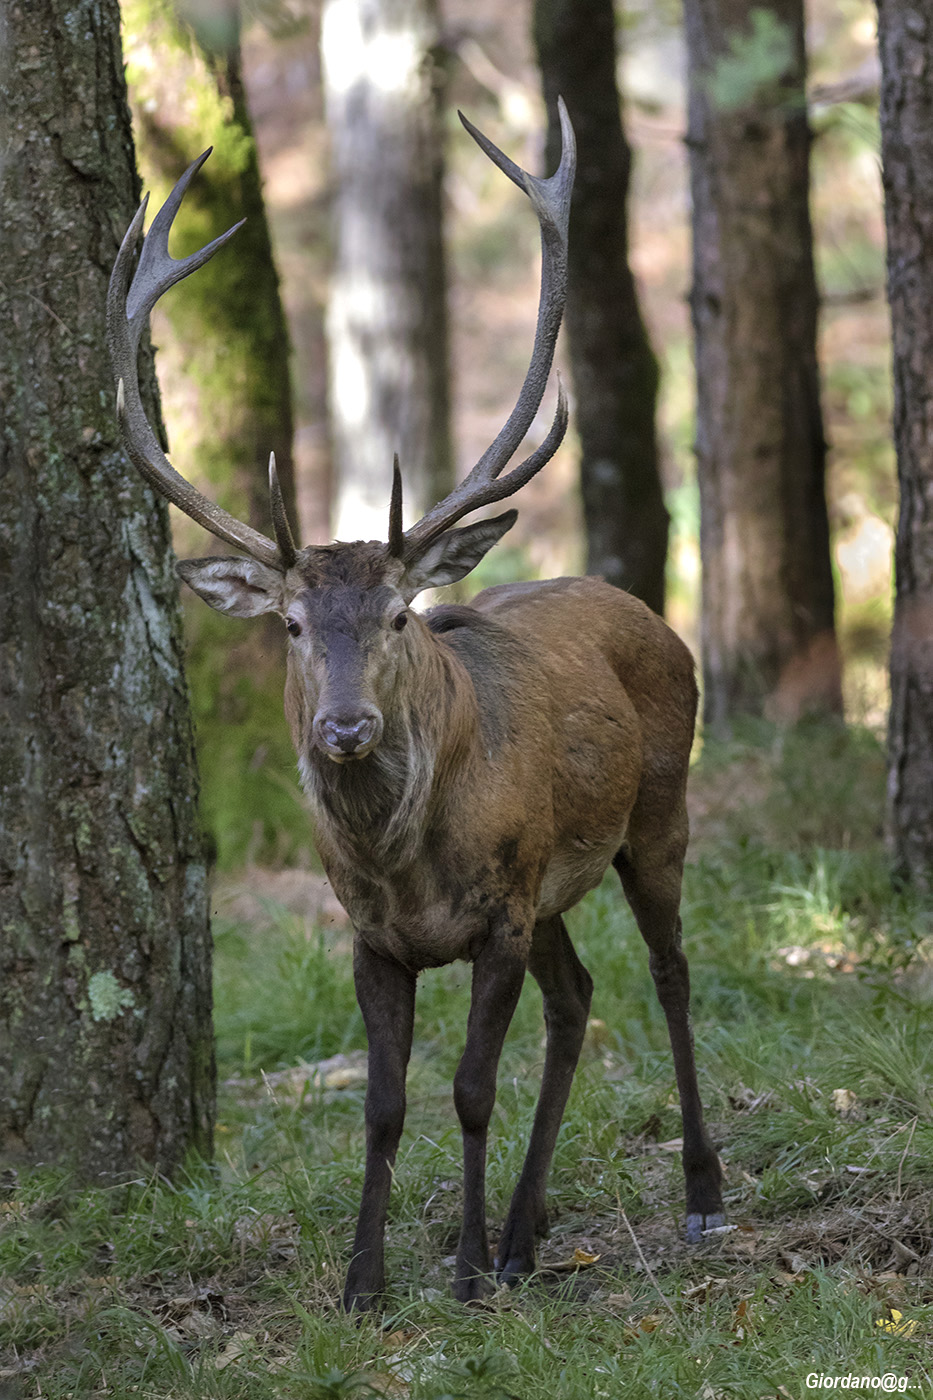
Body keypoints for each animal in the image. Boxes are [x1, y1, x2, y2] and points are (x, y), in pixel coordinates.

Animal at [107, 102, 724, 1311]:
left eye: (399, 615)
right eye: (292, 626)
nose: (345, 727)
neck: (404, 859)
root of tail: (646, 608)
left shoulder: (497, 912)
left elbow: (470, 1088)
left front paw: (466, 1269)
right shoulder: (375, 935)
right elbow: (384, 1105)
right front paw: (366, 1279)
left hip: (656, 811)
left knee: (669, 974)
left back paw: (697, 1193)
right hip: (553, 885)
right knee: (577, 996)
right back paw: (533, 1233)